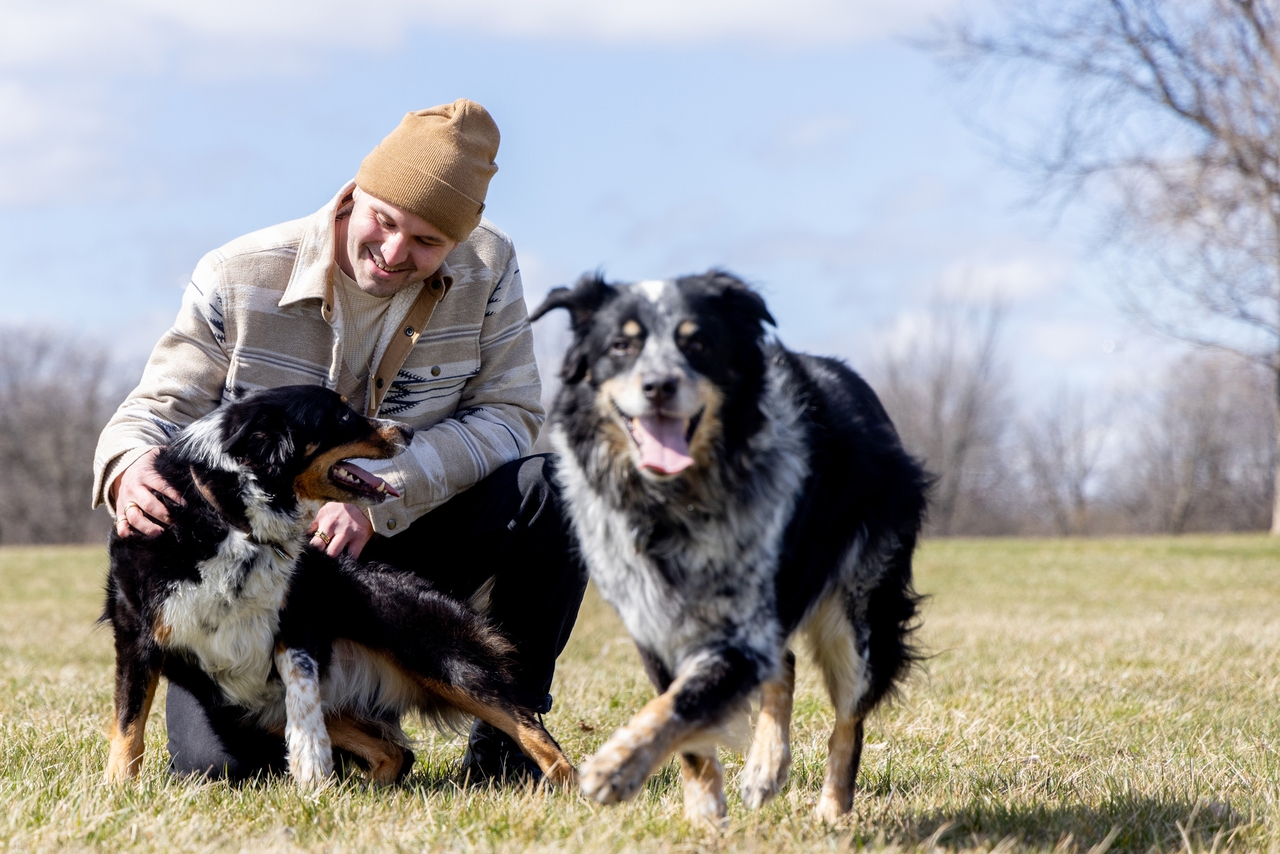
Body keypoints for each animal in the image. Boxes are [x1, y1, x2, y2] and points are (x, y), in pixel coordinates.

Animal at [529, 272, 931, 819]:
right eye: (620, 346)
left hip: (859, 612)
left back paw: (831, 811)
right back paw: (765, 771)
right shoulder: (653, 621)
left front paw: (614, 769)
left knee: (849, 714)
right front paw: (703, 810)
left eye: (698, 344)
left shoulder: (742, 623)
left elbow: (686, 700)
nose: (659, 386)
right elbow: (685, 719)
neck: (673, 505)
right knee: (786, 665)